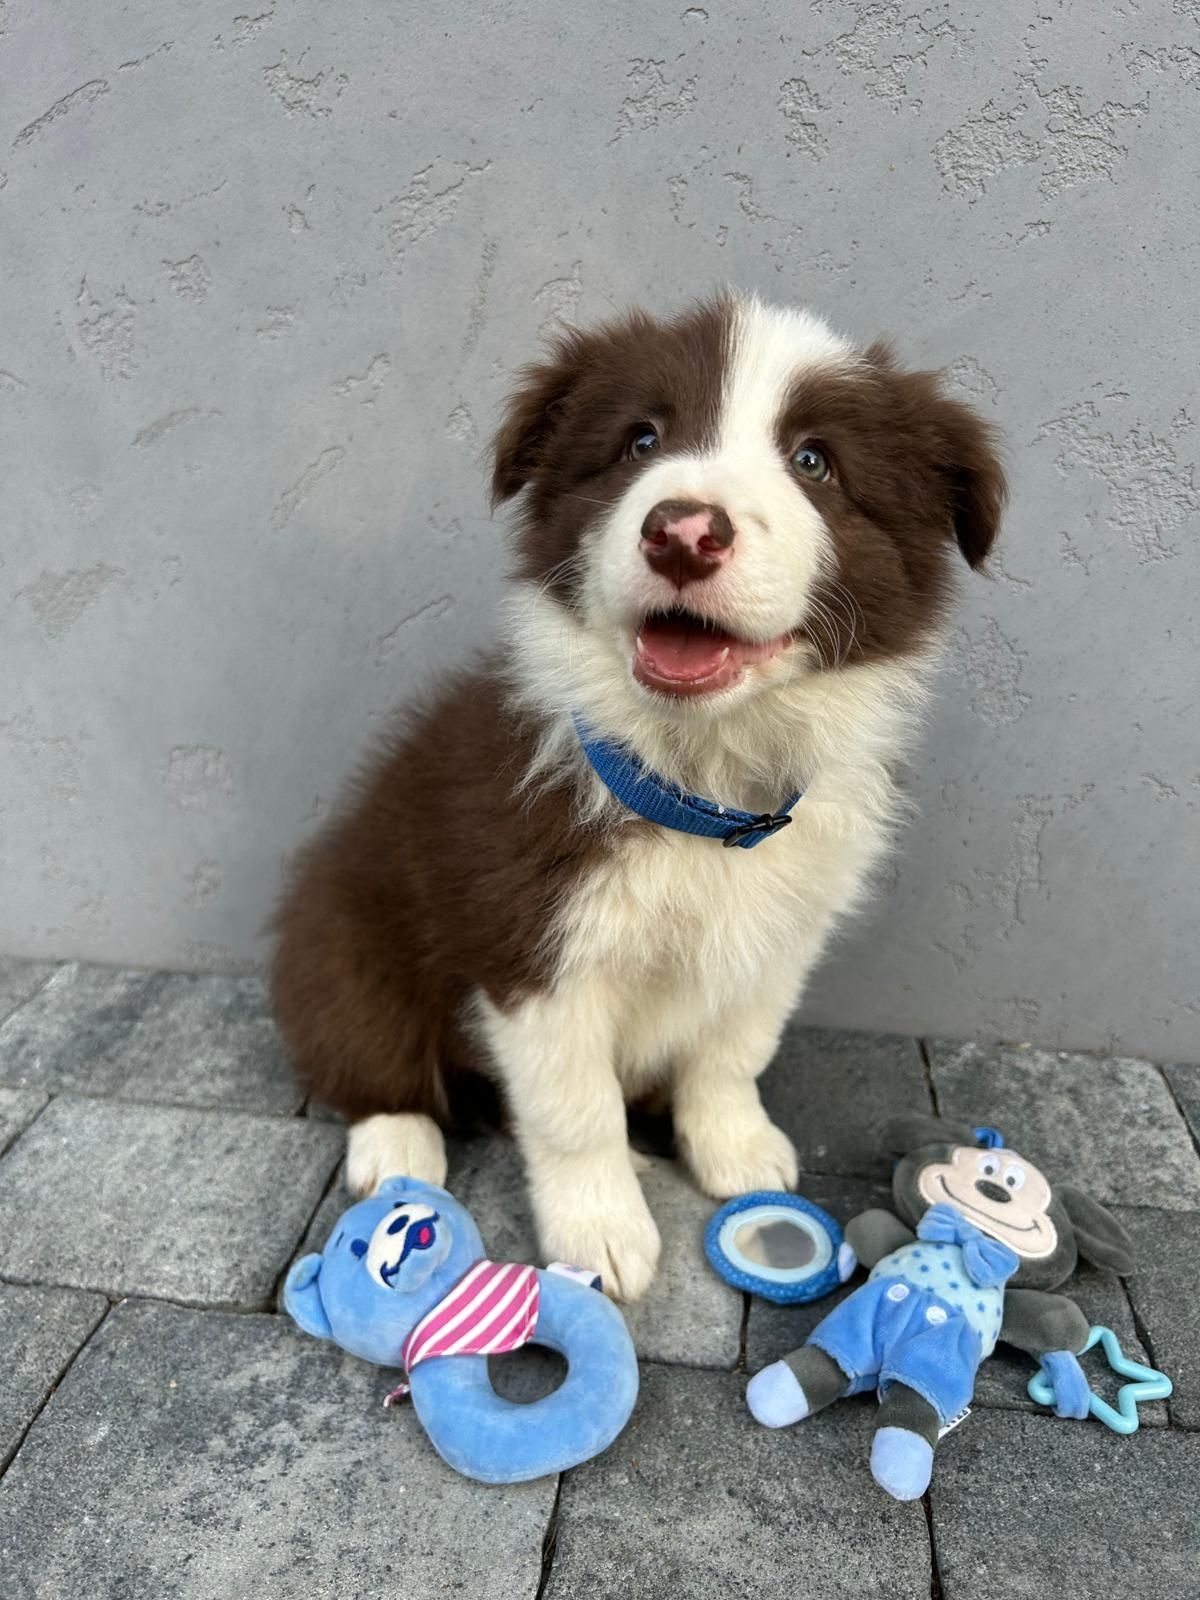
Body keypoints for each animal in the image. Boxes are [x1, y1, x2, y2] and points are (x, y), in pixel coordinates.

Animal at [275, 297, 1004, 1299]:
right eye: (641, 440)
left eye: (815, 462)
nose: (683, 531)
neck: (702, 785)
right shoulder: (532, 947)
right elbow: (575, 1109)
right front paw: (602, 1232)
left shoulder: (784, 933)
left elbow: (735, 1051)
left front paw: (735, 1147)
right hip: (344, 933)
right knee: (365, 1052)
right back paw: (397, 1150)